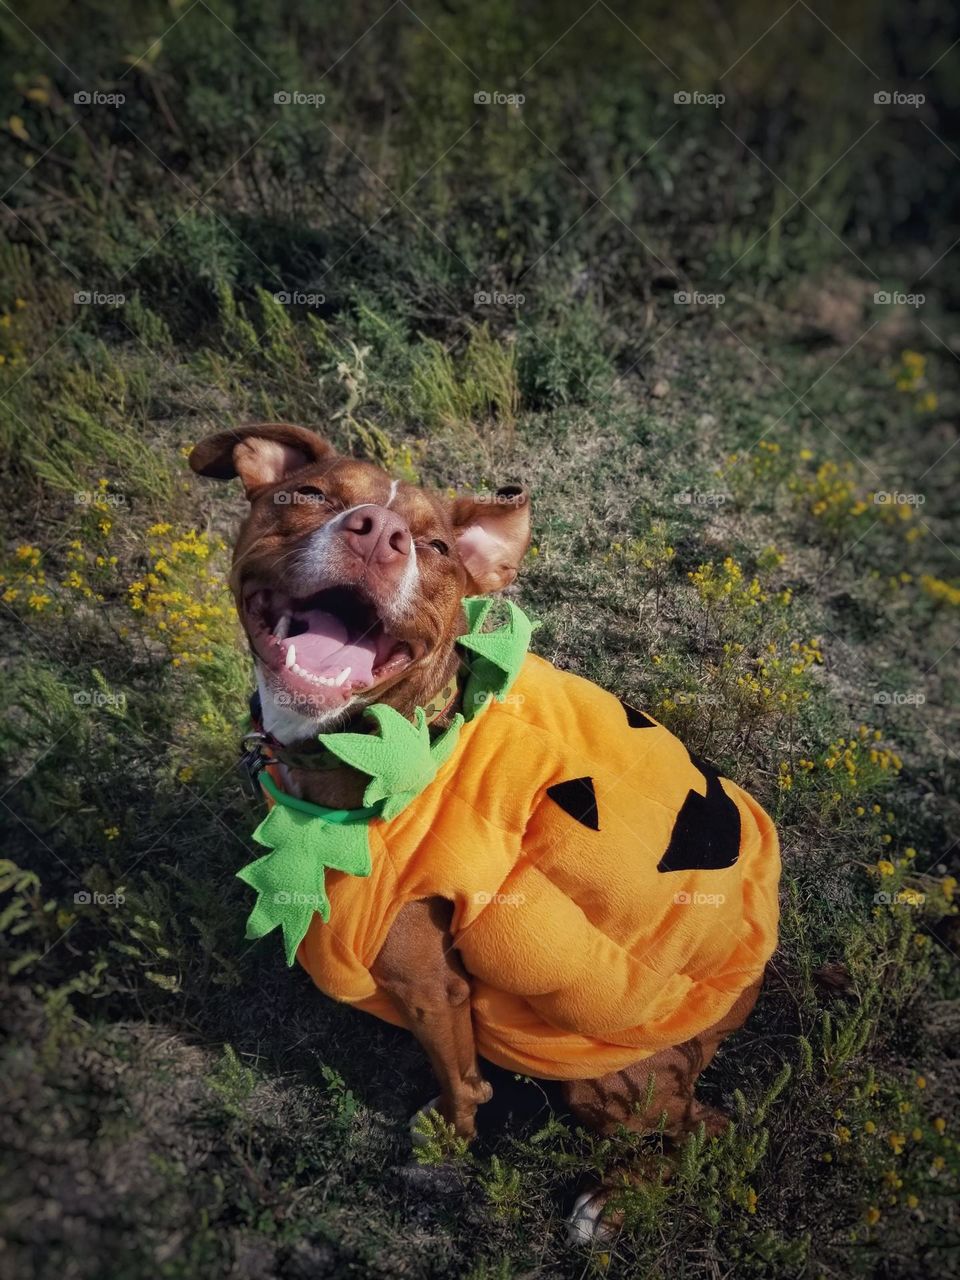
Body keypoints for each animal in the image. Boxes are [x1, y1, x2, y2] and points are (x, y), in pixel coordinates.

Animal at [192, 424, 778, 1244]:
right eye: (306, 494)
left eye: (436, 547)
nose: (378, 533)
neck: (384, 739)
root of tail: (758, 977)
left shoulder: (432, 986)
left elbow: (461, 1082)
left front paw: (446, 1142)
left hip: (605, 1077)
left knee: (708, 1129)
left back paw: (614, 1201)